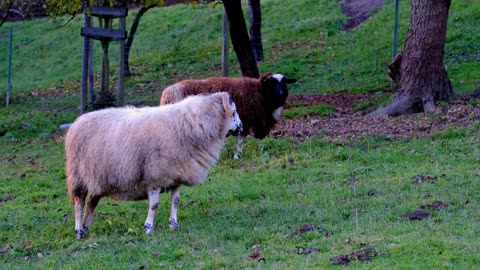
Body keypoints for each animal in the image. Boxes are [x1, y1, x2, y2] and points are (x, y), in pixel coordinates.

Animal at [65, 92, 242, 238]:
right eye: (233, 111)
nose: (241, 127)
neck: (192, 125)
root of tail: (77, 122)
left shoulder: (176, 176)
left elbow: (175, 201)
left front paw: (174, 224)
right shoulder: (155, 177)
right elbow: (154, 205)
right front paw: (148, 228)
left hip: (97, 178)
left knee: (91, 202)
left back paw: (86, 226)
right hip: (77, 176)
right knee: (79, 203)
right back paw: (79, 231)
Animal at [161, 73, 296, 159]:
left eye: (285, 83)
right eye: (272, 83)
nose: (281, 95)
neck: (259, 92)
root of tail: (167, 93)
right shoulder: (244, 121)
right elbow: (240, 141)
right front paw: (237, 156)